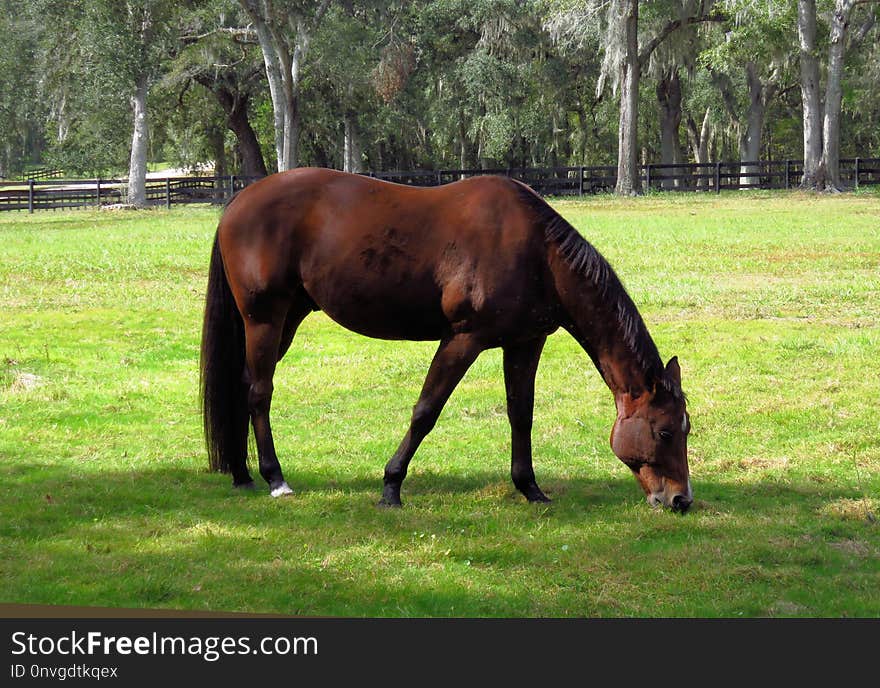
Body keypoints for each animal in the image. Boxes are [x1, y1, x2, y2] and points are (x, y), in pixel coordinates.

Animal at [201, 167, 696, 510]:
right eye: (665, 431)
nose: (681, 500)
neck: (537, 253)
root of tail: (239, 201)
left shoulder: (524, 343)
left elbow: (521, 415)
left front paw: (530, 488)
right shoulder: (463, 340)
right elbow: (426, 411)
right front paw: (391, 487)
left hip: (286, 319)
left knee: (243, 387)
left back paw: (242, 473)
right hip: (264, 320)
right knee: (260, 392)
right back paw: (275, 478)